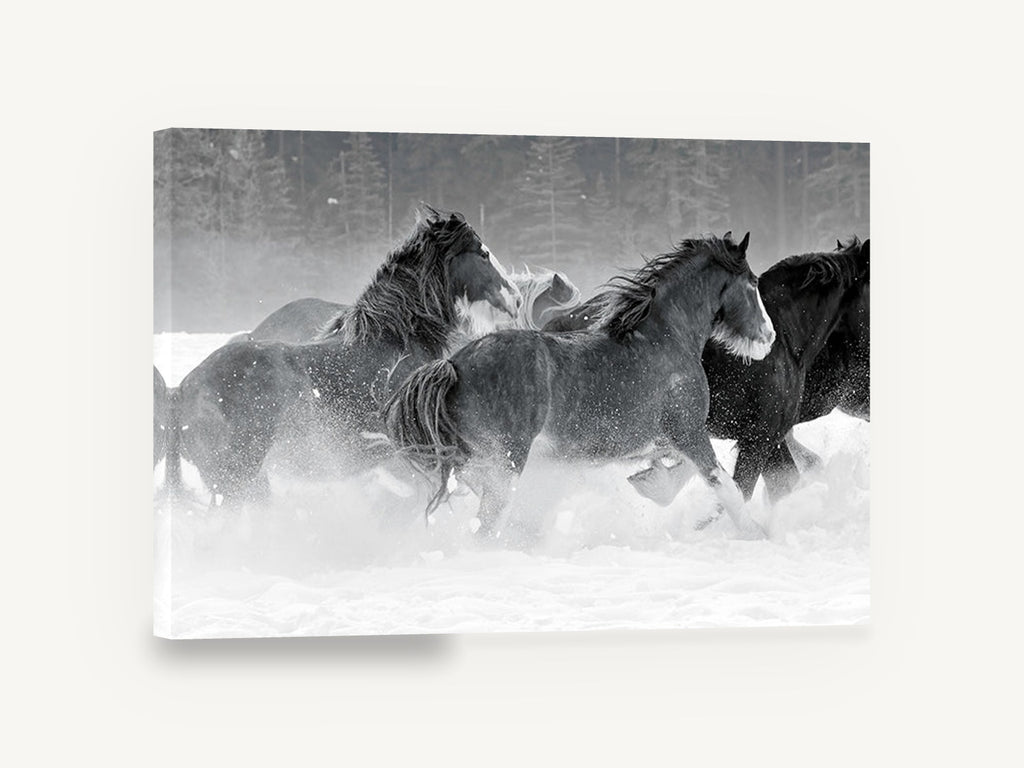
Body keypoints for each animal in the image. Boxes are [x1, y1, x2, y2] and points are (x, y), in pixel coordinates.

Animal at [385, 232, 776, 539]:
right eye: (753, 283)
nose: (769, 336)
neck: (666, 338)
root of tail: (453, 365)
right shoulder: (688, 431)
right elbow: (724, 484)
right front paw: (756, 532)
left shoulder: (665, 440)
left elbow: (680, 475)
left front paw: (652, 484)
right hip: (505, 463)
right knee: (485, 526)